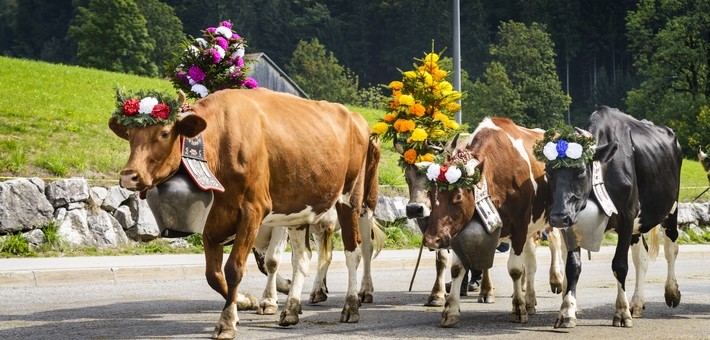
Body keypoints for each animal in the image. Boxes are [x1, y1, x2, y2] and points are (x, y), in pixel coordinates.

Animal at [108, 87, 382, 338]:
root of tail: (353, 115)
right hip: (299, 210)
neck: (218, 144)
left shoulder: (253, 211)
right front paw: (245, 301)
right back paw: (291, 309)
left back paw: (352, 304)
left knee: (355, 252)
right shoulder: (213, 220)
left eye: (164, 133)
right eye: (130, 134)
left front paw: (227, 322)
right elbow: (213, 275)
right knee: (303, 257)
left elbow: (235, 268)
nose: (129, 176)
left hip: (353, 199)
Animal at [422, 117, 556, 326]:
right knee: (532, 264)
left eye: (458, 196)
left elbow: (515, 270)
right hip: (531, 230)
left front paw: (518, 309)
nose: (431, 240)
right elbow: (456, 269)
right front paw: (450, 310)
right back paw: (531, 301)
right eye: (430, 193)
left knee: (559, 248)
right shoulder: (459, 232)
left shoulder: (519, 228)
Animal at [544, 105, 684, 326]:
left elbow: (619, 265)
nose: (558, 216)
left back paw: (671, 293)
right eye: (549, 172)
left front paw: (621, 312)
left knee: (671, 248)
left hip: (671, 208)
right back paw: (636, 303)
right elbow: (573, 267)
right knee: (641, 257)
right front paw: (567, 311)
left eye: (581, 171)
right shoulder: (573, 223)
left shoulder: (627, 216)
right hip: (638, 224)